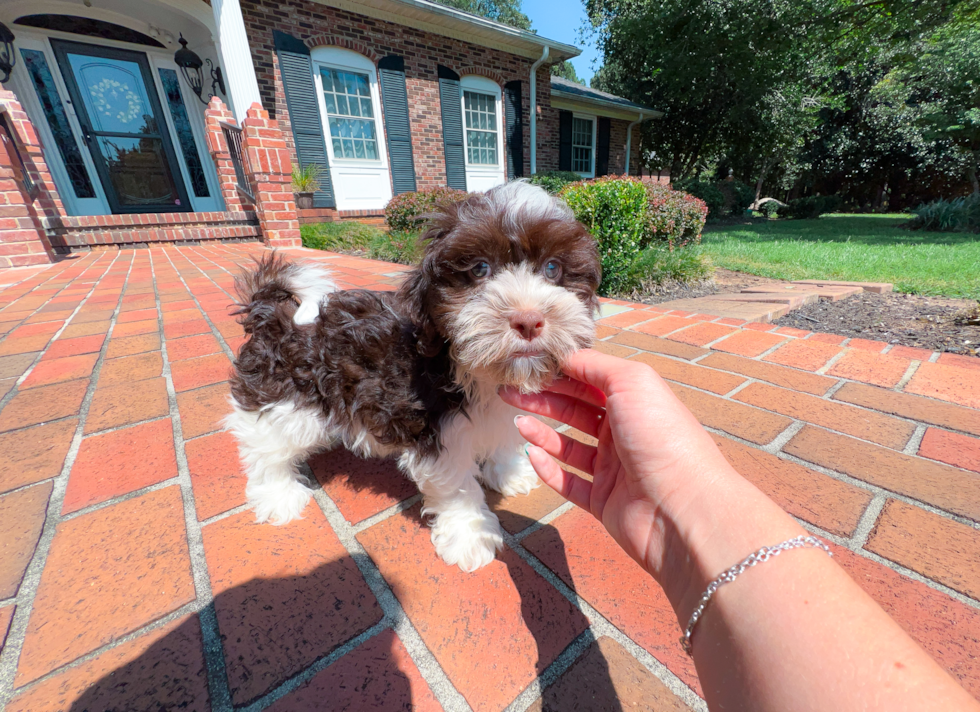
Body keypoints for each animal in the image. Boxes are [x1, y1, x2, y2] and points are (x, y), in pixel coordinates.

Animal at [226, 181, 600, 572]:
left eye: (553, 268)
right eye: (480, 269)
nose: (528, 319)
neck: (471, 369)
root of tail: (272, 313)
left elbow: (503, 440)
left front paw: (511, 474)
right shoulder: (437, 433)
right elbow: (459, 487)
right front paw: (471, 536)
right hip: (286, 397)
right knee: (264, 444)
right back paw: (278, 496)